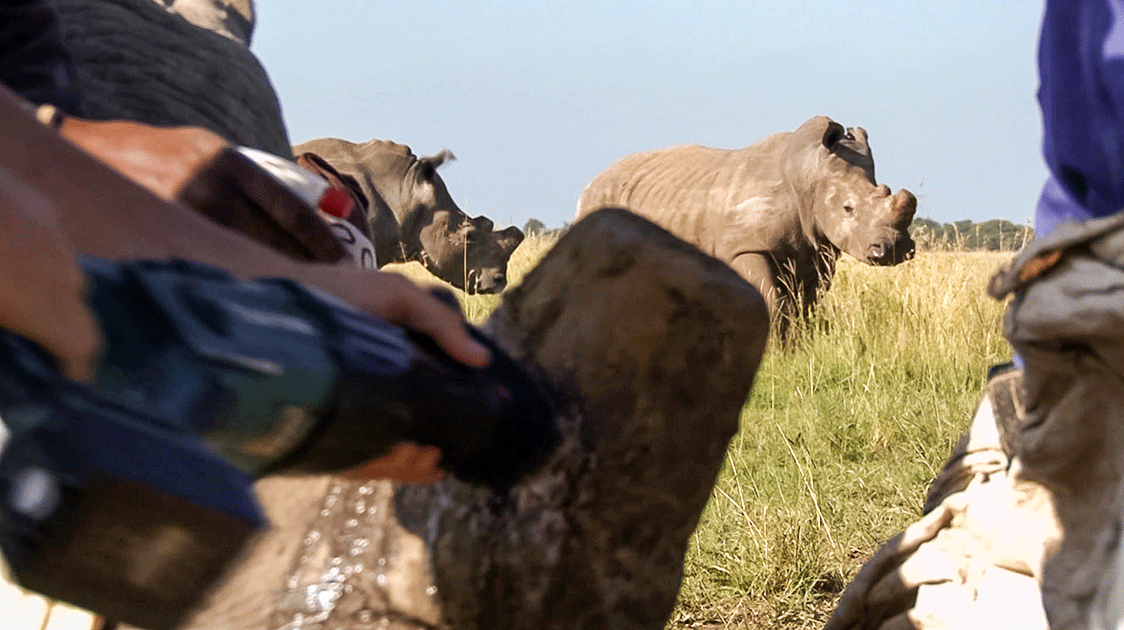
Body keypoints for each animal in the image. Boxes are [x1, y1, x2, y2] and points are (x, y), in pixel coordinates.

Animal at [576, 115, 917, 335]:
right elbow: (772, 301)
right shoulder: (745, 247)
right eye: (848, 209)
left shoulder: (817, 251)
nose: (893, 250)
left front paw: (797, 347)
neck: (809, 178)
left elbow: (804, 304)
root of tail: (591, 181)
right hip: (599, 199)